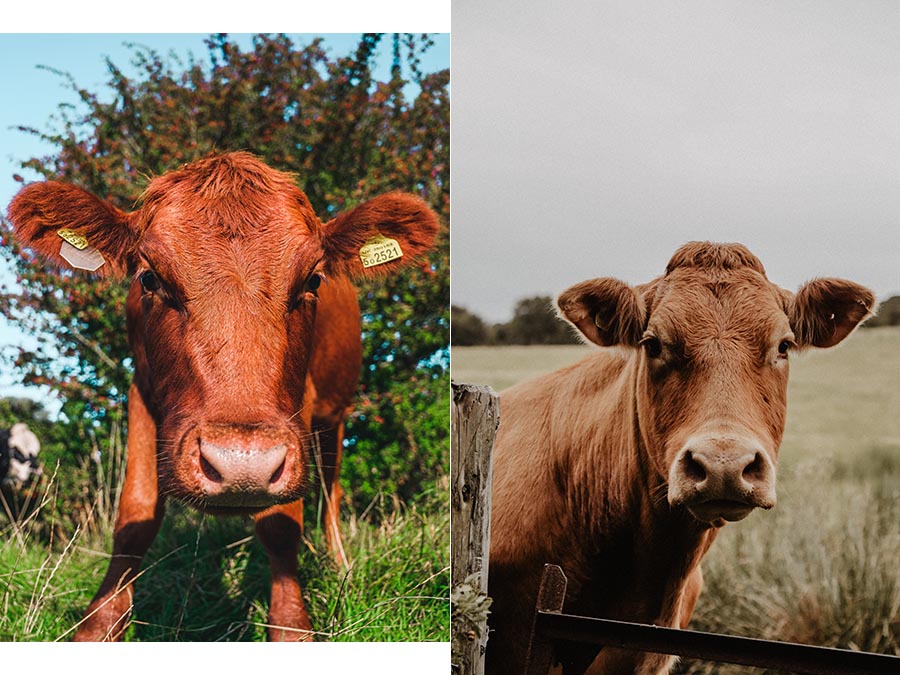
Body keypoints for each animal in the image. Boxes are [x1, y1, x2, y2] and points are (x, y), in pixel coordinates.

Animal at [7, 151, 442, 640]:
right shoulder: (142, 388)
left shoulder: (301, 407)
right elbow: (134, 516)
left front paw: (292, 629)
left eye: (313, 281)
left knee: (331, 490)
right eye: (149, 278)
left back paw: (339, 562)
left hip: (336, 412)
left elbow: (281, 525)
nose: (242, 465)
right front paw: (98, 625)